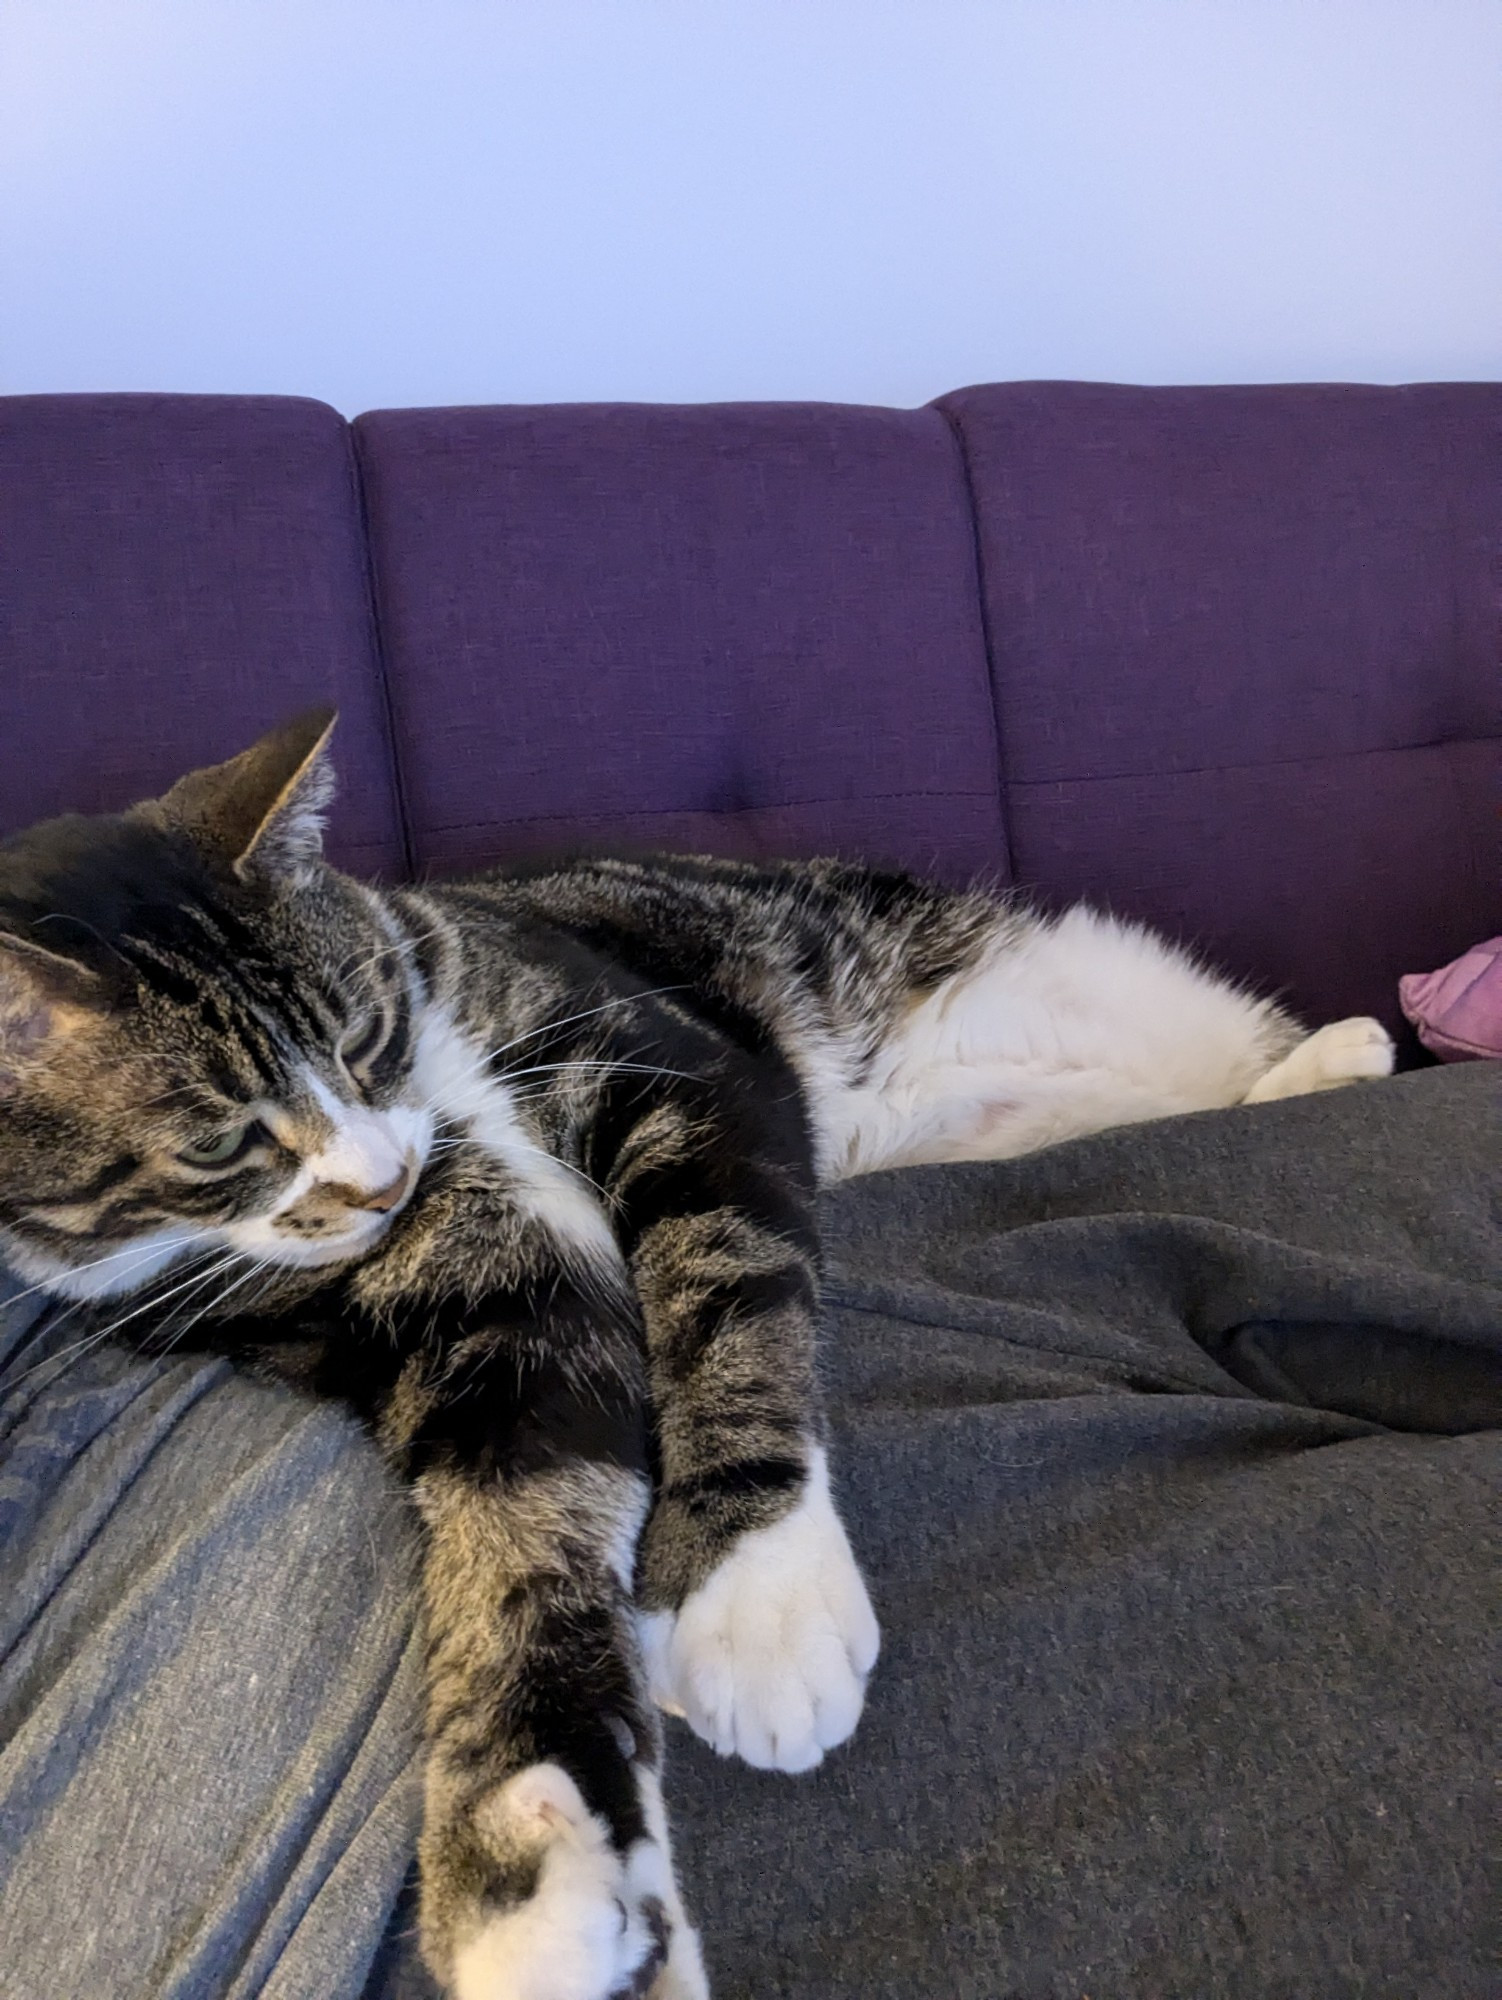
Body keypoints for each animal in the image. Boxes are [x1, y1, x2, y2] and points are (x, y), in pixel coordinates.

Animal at [0, 712, 1400, 1992]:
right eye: (223, 1140)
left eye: (363, 1033)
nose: (385, 1173)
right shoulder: (451, 1324)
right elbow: (523, 1522)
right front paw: (535, 1866)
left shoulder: (674, 1069)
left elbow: (724, 1293)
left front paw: (755, 1596)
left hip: (1080, 999)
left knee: (1210, 1069)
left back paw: (1332, 1059)